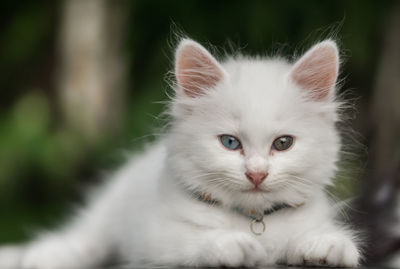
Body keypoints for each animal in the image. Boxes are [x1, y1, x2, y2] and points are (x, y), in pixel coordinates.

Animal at [0, 38, 360, 266]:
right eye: (230, 143)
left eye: (283, 143)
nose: (256, 174)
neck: (252, 219)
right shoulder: (152, 234)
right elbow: (194, 240)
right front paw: (233, 245)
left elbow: (307, 237)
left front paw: (327, 244)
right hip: (110, 209)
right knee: (87, 237)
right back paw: (44, 255)